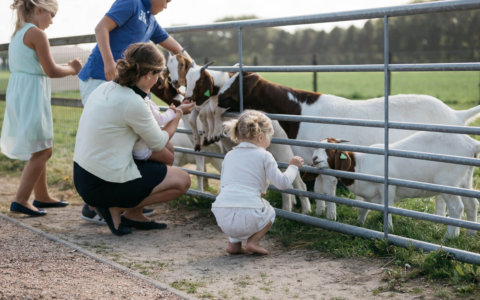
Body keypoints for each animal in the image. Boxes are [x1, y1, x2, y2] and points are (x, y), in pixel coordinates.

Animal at [312, 135, 480, 238]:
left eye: (330, 150)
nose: (314, 159)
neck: (359, 166)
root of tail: (471, 144)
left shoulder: (386, 188)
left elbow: (387, 208)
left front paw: (389, 229)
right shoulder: (368, 194)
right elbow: (363, 208)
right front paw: (359, 224)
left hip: (447, 183)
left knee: (457, 207)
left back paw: (450, 236)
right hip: (465, 180)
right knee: (471, 204)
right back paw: (470, 234)